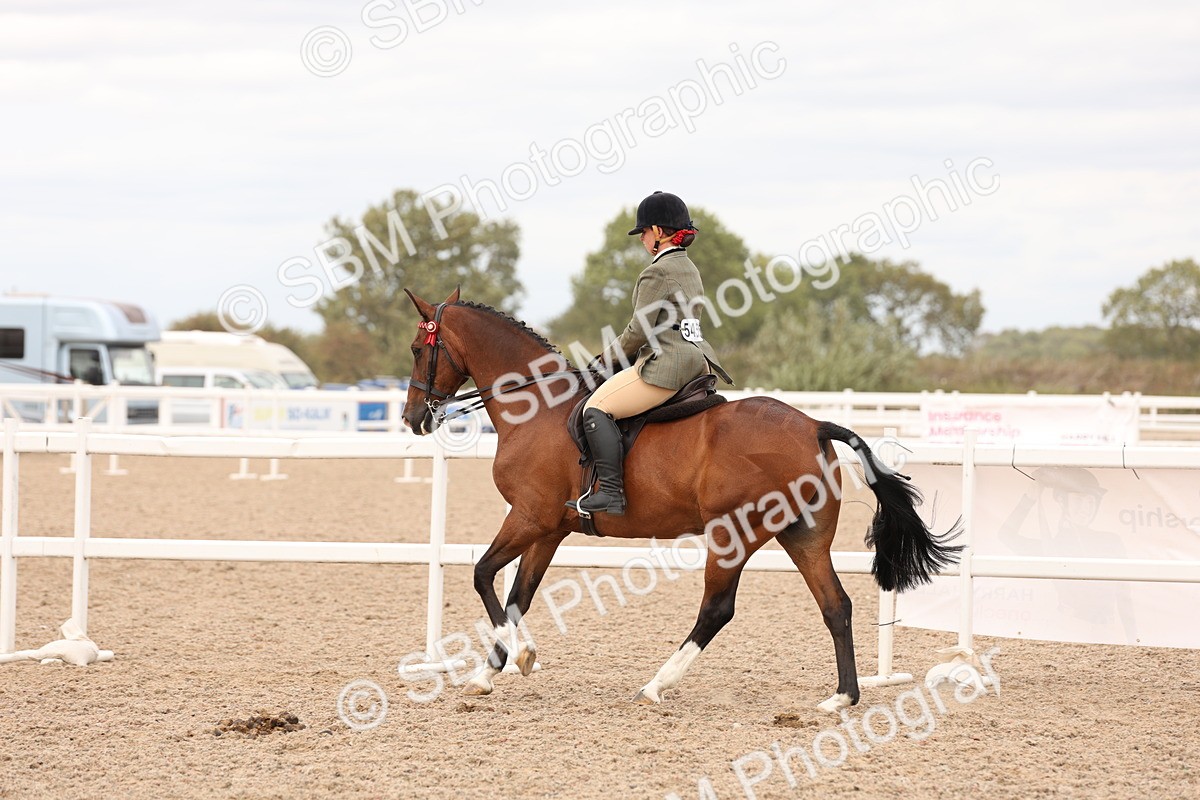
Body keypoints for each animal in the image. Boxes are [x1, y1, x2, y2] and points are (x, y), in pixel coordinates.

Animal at [401, 288, 961, 713]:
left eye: (415, 349)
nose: (413, 418)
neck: (537, 407)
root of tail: (813, 425)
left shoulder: (528, 517)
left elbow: (482, 575)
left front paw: (508, 661)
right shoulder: (550, 528)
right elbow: (519, 594)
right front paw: (500, 666)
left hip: (734, 533)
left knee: (717, 609)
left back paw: (656, 684)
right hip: (802, 535)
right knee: (835, 606)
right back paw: (842, 697)